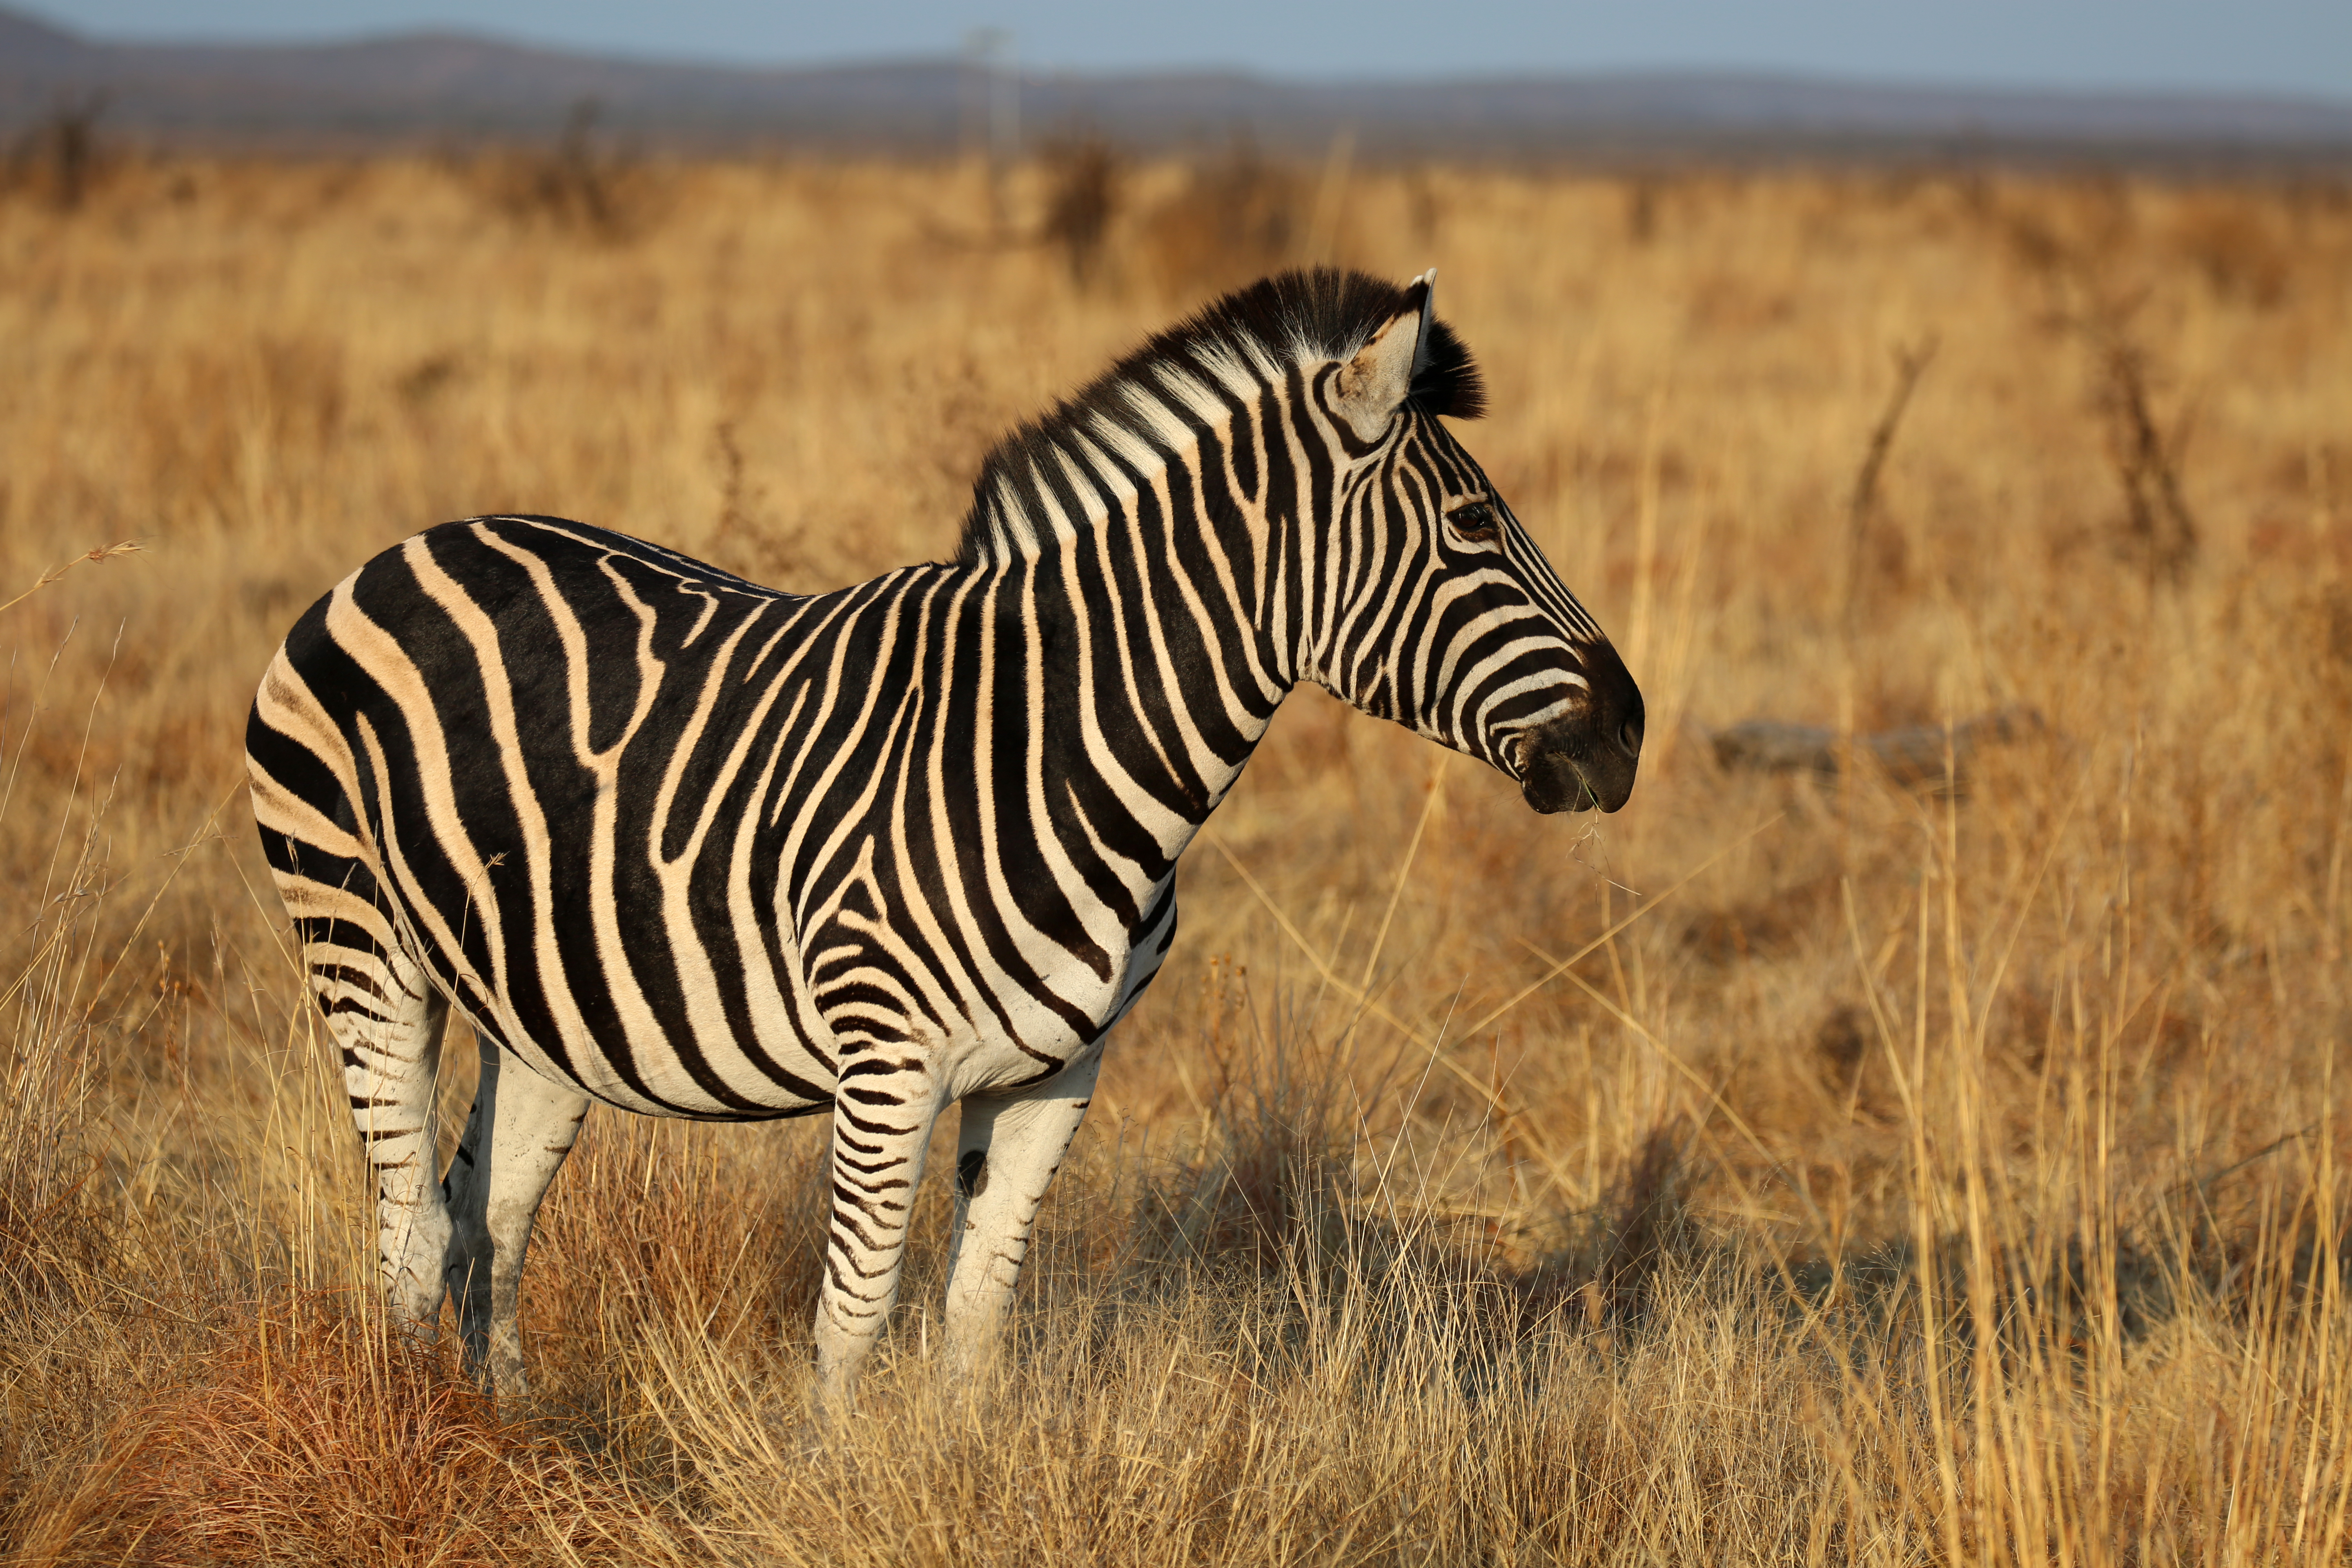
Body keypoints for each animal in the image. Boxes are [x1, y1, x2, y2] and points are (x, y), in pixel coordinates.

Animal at [238, 263, 1637, 1401]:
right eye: (1472, 526)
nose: (1626, 732)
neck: (1059, 742)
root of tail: (392, 551)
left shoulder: (1059, 1070)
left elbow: (977, 1315)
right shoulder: (887, 1060)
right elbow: (855, 1319)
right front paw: (832, 1490)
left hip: (540, 1001)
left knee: (492, 1214)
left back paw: (510, 1424)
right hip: (360, 941)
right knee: (410, 1223)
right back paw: (419, 1435)